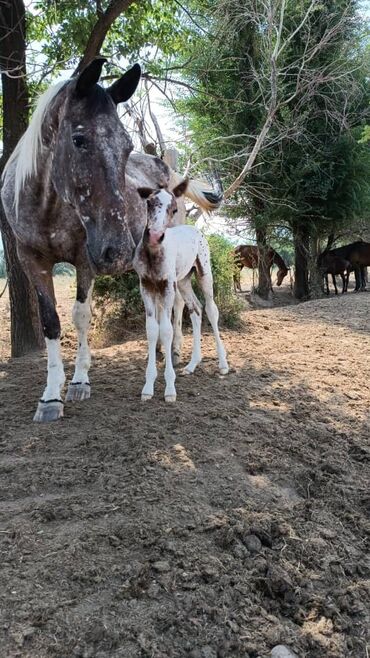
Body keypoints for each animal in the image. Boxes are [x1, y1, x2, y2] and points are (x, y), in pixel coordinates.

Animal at [134, 182, 228, 402]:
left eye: (174, 209)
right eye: (149, 203)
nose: (154, 236)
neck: (153, 255)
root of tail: (194, 229)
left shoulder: (168, 285)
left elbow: (167, 330)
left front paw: (170, 389)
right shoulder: (147, 285)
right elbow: (152, 330)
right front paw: (148, 387)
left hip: (204, 273)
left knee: (211, 310)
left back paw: (223, 365)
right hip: (184, 280)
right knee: (196, 309)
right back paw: (192, 365)